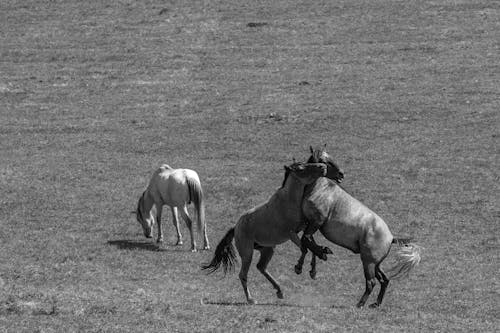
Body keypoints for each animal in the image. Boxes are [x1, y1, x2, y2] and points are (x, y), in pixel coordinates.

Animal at [203, 161, 328, 304]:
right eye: (301, 169)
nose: (323, 167)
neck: (288, 202)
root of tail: (235, 227)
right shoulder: (292, 234)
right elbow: (305, 249)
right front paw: (299, 268)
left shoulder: (303, 230)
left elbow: (312, 247)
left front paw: (313, 271)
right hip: (247, 253)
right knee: (243, 274)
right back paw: (251, 299)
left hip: (268, 249)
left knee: (261, 267)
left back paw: (279, 290)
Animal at [300, 176, 422, 306]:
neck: (323, 188)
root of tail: (391, 238)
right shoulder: (310, 224)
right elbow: (307, 241)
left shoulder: (315, 222)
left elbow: (306, 239)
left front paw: (322, 253)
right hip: (376, 264)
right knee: (384, 280)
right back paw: (376, 303)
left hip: (368, 263)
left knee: (371, 282)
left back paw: (360, 304)